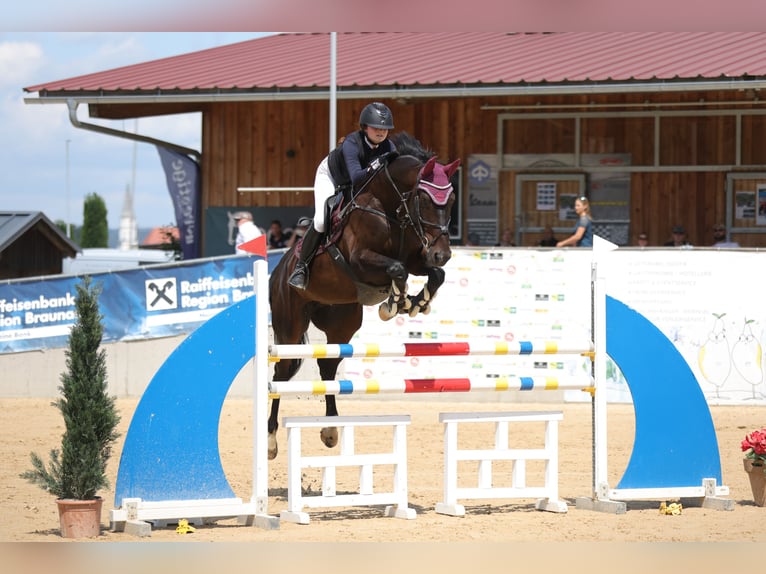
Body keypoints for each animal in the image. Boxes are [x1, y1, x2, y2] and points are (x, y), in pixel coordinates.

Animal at [268, 133, 462, 462]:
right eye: (424, 199)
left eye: (449, 202)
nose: (443, 253)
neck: (392, 209)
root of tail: (277, 271)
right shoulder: (361, 261)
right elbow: (397, 270)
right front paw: (395, 302)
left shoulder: (416, 259)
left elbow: (434, 274)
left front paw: (415, 302)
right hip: (289, 326)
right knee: (280, 374)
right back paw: (270, 441)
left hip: (341, 321)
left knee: (328, 368)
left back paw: (330, 429)